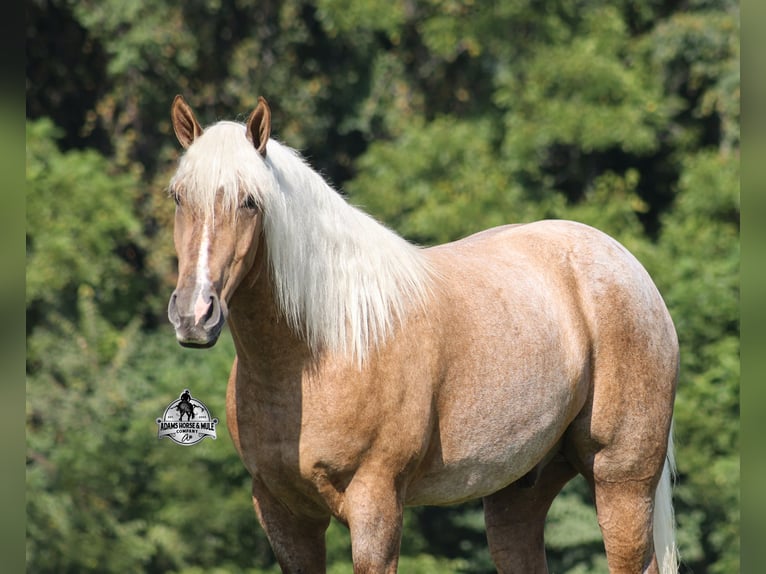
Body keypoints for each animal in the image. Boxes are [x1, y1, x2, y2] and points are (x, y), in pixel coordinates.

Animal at [165, 94, 679, 573]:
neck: (326, 347)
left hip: (621, 482)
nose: (194, 314)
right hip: (520, 493)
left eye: (250, 201)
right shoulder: (284, 514)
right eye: (177, 197)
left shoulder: (375, 506)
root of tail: (629, 269)